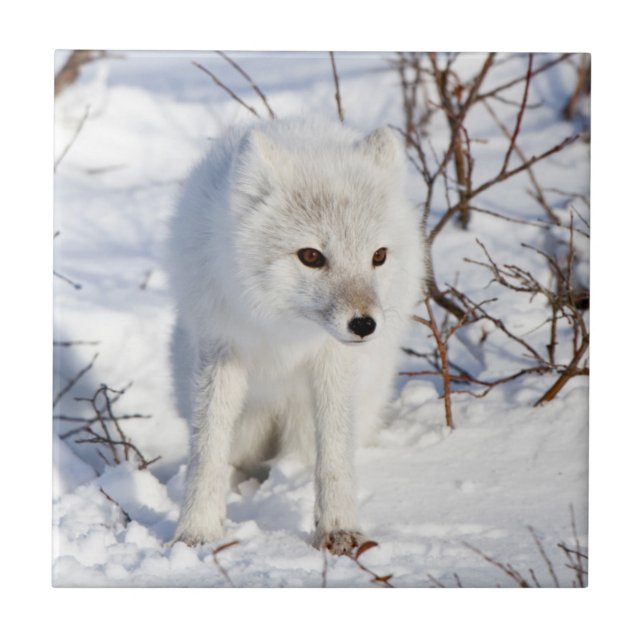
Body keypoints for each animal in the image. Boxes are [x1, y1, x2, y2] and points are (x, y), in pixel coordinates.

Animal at [166, 117, 424, 555]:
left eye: (378, 256)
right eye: (311, 256)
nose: (364, 325)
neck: (283, 330)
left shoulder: (333, 362)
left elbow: (335, 456)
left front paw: (339, 530)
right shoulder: (221, 349)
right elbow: (207, 452)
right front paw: (196, 532)